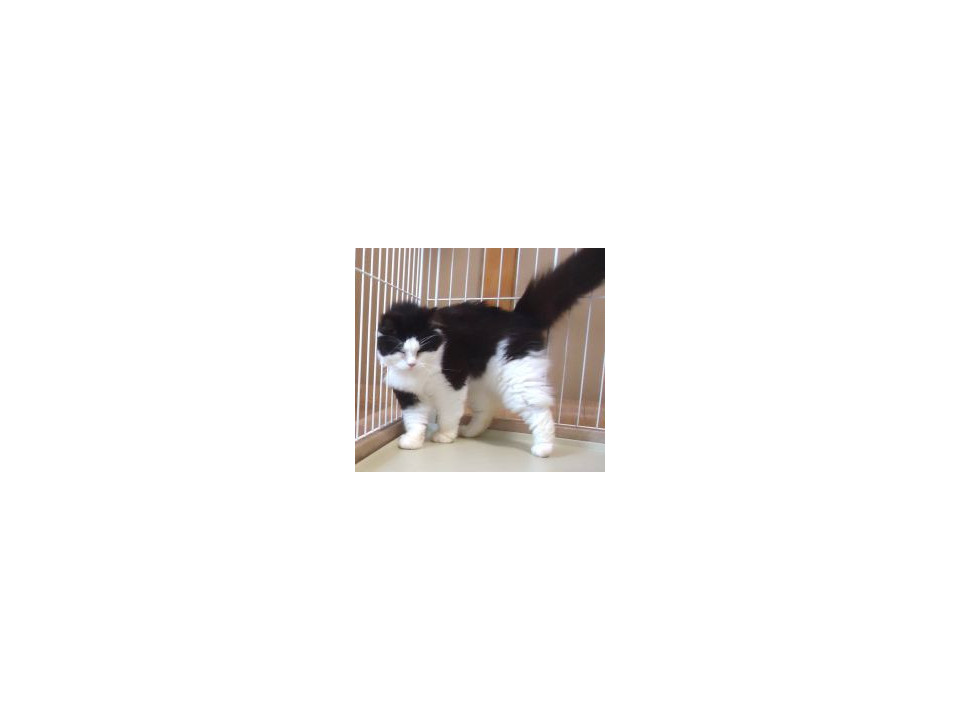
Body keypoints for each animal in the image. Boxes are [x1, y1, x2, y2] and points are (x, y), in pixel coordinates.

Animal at [376, 248, 604, 457]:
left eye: (422, 349)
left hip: (517, 379)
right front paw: (413, 441)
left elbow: (449, 413)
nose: (411, 363)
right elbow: (414, 420)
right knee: (487, 410)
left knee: (539, 412)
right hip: (480, 384)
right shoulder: (408, 393)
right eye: (400, 350)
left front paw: (445, 436)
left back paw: (543, 448)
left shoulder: (451, 386)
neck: (419, 374)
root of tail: (519, 316)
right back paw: (470, 431)